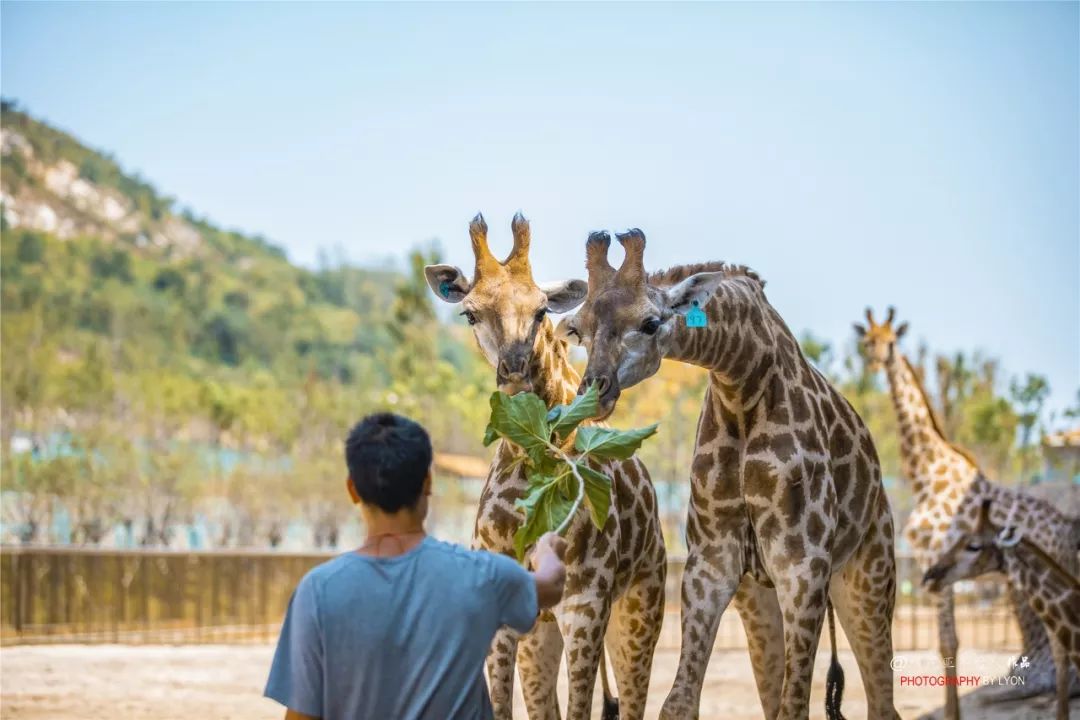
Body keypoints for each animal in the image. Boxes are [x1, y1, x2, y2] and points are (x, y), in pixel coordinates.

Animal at [423, 213, 665, 720]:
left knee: (634, 700)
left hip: (639, 608)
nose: (514, 369)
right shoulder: (506, 611)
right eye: (470, 313)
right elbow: (501, 707)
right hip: (542, 629)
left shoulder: (586, 606)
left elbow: (580, 709)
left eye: (540, 312)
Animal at [561, 229, 898, 720]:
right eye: (578, 329)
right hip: (760, 597)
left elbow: (794, 706)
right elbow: (680, 702)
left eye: (650, 323)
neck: (741, 382)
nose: (595, 392)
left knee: (882, 701)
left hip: (867, 577)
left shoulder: (804, 566)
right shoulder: (712, 562)